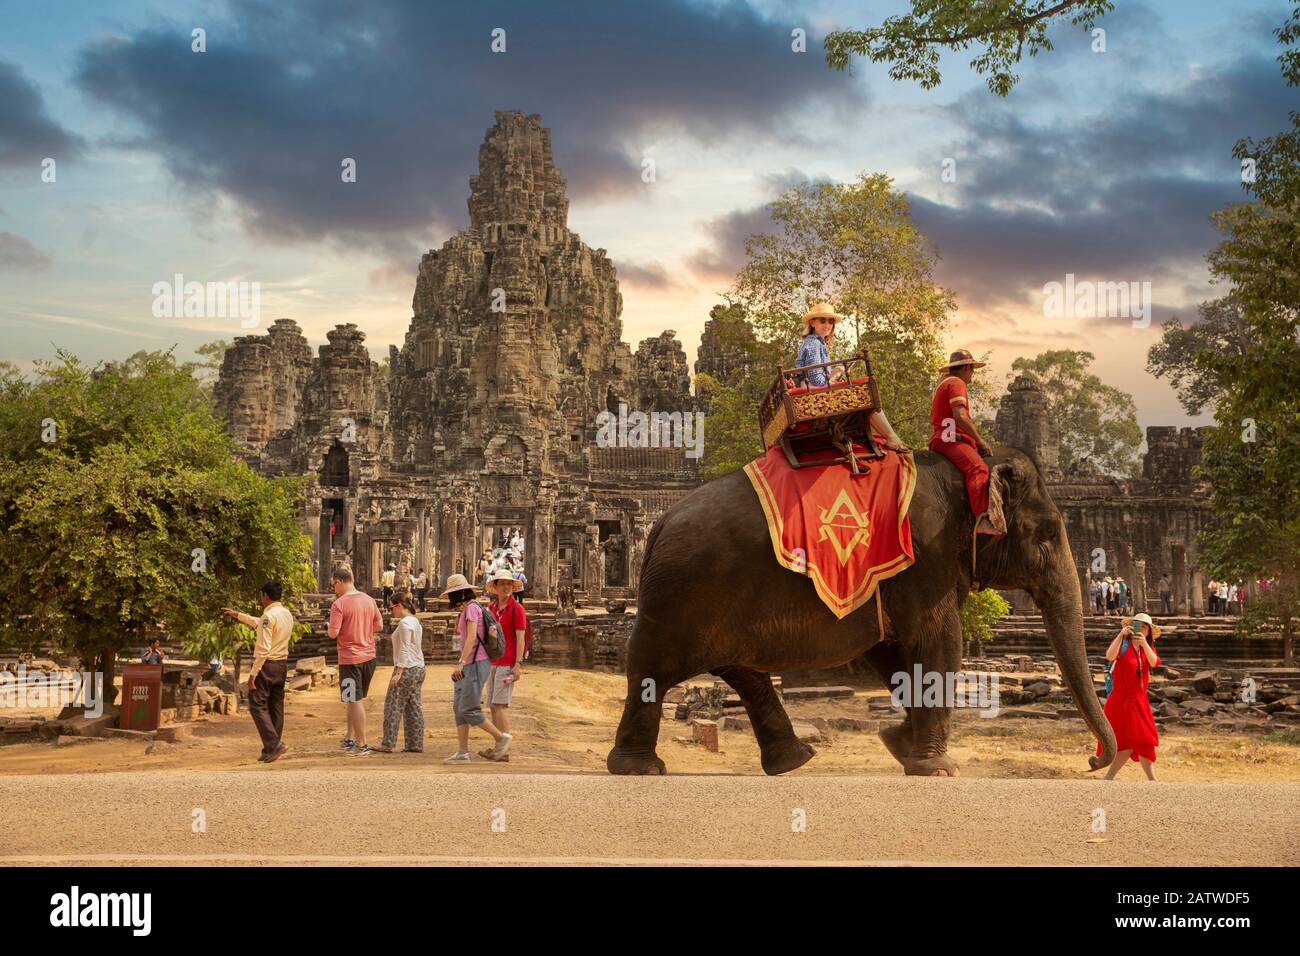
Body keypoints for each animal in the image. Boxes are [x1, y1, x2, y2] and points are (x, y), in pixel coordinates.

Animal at [603, 447, 1112, 780]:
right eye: (1048, 533)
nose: (1092, 761)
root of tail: (659, 525)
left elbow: (892, 650)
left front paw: (898, 743)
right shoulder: (925, 558)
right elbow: (940, 643)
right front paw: (936, 768)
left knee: (742, 671)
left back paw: (793, 761)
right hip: (682, 594)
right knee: (650, 666)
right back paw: (640, 769)